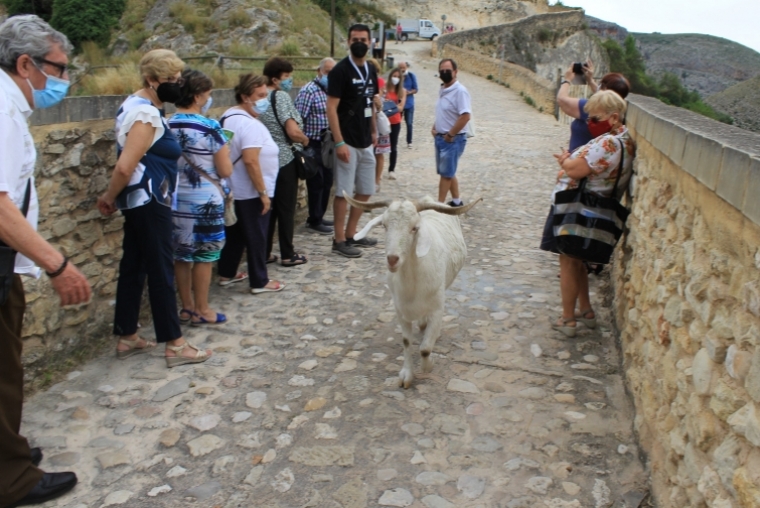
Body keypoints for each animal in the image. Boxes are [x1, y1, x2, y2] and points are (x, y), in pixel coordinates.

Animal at [342, 192, 480, 386]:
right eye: (384, 225)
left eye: (415, 228)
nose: (392, 259)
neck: (413, 283)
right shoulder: (400, 310)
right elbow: (407, 341)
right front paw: (406, 376)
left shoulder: (437, 309)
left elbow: (425, 348)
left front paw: (428, 366)